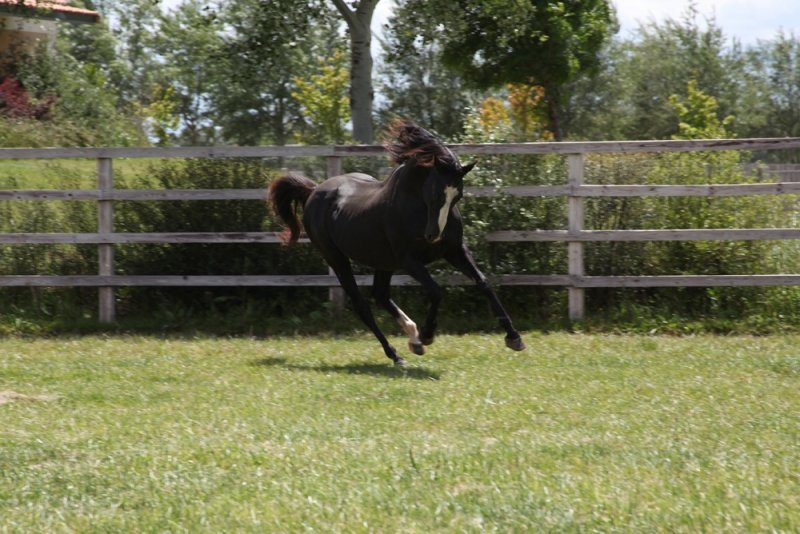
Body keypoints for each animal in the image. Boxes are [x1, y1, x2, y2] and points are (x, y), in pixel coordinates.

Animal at [268, 120, 525, 366]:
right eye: (435, 193)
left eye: (458, 195)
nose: (433, 235)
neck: (415, 206)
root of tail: (313, 191)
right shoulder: (409, 260)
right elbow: (436, 291)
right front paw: (428, 335)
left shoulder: (454, 251)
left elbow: (483, 283)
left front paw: (514, 337)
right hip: (337, 258)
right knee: (362, 304)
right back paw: (397, 353)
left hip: (383, 261)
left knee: (380, 294)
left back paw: (413, 339)